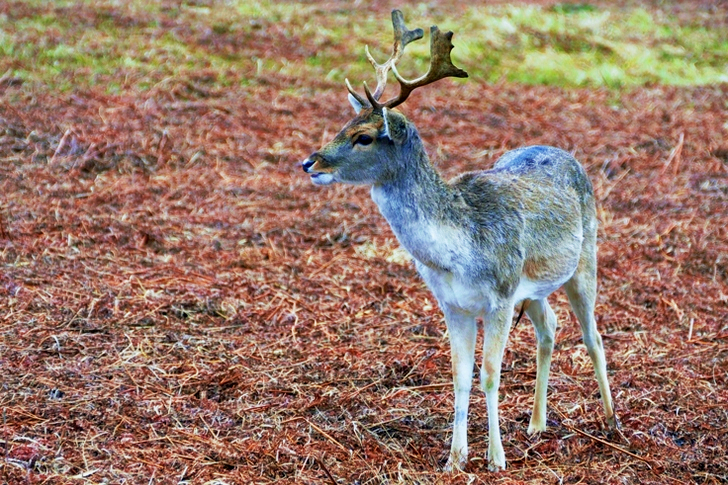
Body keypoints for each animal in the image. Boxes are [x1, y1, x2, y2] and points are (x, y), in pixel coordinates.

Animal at [301, 10, 617, 472]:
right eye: (344, 125)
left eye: (364, 136)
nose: (309, 162)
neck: (458, 251)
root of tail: (569, 155)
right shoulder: (452, 304)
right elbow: (460, 377)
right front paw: (455, 458)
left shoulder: (500, 295)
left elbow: (489, 374)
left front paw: (495, 458)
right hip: (534, 287)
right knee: (550, 327)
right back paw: (537, 423)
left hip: (584, 257)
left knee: (593, 335)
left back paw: (611, 420)